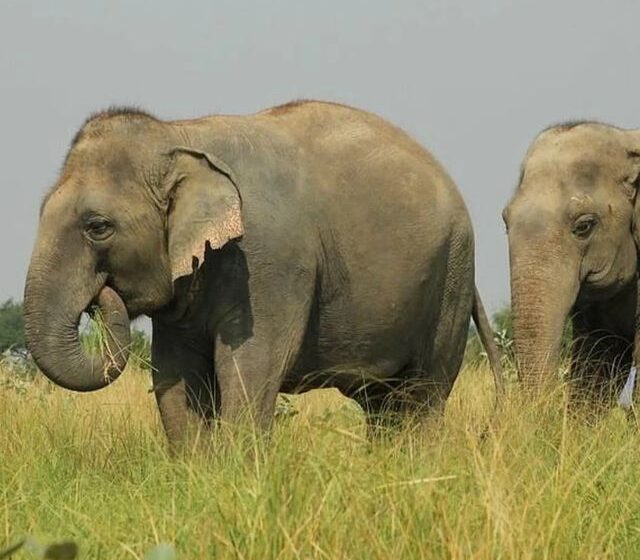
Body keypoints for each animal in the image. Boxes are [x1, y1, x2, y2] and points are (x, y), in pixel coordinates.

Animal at [24, 100, 503, 447]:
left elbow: (249, 369)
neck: (180, 135)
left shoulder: (268, 263)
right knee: (382, 405)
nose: (101, 297)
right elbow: (176, 381)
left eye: (98, 227)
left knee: (423, 396)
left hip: (452, 275)